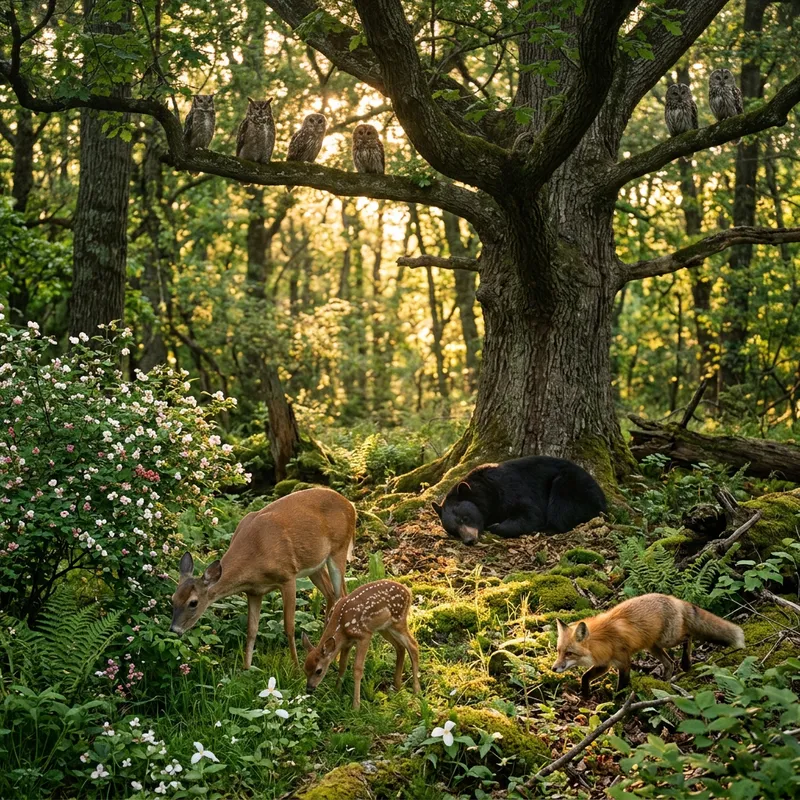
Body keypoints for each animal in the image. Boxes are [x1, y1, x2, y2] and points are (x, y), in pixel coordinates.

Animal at [170, 487, 356, 668]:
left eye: (193, 602)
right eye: (173, 598)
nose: (174, 629)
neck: (255, 556)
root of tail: (351, 505)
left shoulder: (288, 577)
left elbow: (289, 627)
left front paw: (296, 667)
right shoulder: (254, 591)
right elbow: (251, 630)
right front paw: (246, 669)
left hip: (339, 550)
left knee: (342, 595)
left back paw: (336, 659)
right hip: (315, 565)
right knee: (331, 595)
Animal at [301, 579, 420, 709]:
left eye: (319, 671)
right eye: (304, 670)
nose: (309, 689)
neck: (341, 626)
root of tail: (408, 591)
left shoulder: (364, 636)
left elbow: (357, 669)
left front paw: (356, 706)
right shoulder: (347, 643)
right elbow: (342, 666)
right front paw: (337, 691)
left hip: (398, 620)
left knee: (413, 645)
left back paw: (417, 691)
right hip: (384, 628)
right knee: (400, 647)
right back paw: (397, 686)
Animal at [431, 456, 607, 545]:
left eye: (465, 518)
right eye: (453, 530)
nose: (469, 540)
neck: (488, 492)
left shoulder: (512, 490)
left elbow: (530, 514)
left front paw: (496, 526)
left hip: (571, 485)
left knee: (561, 507)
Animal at [552, 593, 745, 699]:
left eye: (569, 653)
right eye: (559, 652)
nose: (554, 668)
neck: (603, 640)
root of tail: (674, 599)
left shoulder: (623, 662)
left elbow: (623, 685)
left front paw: (616, 703)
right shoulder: (604, 664)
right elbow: (585, 677)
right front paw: (585, 694)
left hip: (666, 640)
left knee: (688, 637)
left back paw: (686, 663)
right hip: (653, 646)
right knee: (669, 663)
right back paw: (665, 682)